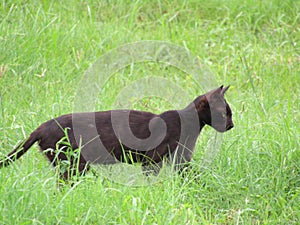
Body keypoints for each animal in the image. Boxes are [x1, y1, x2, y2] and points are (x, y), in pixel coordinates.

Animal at [0, 85, 234, 180]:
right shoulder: (153, 160)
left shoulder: (180, 161)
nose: (232, 125)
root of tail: (41, 126)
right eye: (225, 113)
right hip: (74, 163)